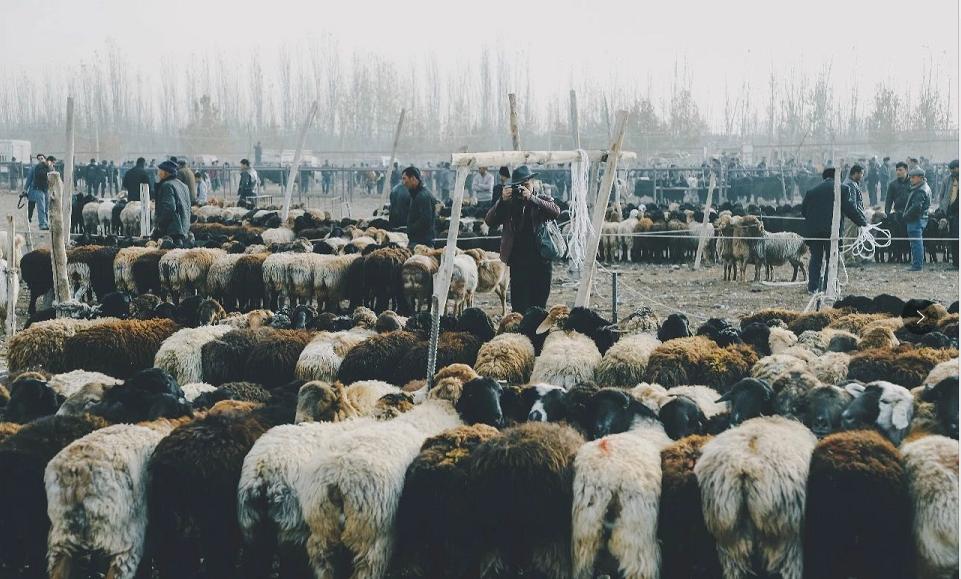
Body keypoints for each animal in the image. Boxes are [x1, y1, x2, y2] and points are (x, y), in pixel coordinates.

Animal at [300, 377, 505, 579]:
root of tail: (337, 480)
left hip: (322, 527)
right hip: (372, 536)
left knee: (322, 559)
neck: (440, 406)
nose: (498, 418)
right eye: (473, 394)